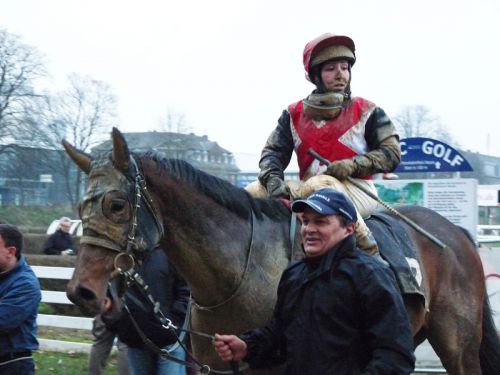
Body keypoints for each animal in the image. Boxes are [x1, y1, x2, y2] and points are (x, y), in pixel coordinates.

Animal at [64, 128, 500, 374]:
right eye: (81, 206)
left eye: (116, 205)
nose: (81, 291)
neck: (241, 272)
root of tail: (458, 233)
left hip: (458, 346)